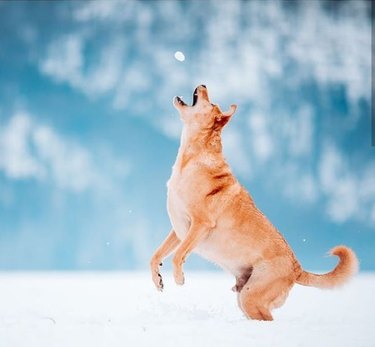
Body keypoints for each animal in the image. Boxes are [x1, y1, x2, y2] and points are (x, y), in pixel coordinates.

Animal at [151, 85, 360, 322]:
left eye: (212, 104)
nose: (203, 85)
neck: (192, 159)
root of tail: (297, 268)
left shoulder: (200, 224)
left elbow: (178, 256)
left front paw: (179, 278)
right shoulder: (179, 230)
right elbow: (156, 255)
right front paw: (158, 279)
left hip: (251, 297)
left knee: (268, 319)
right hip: (245, 296)